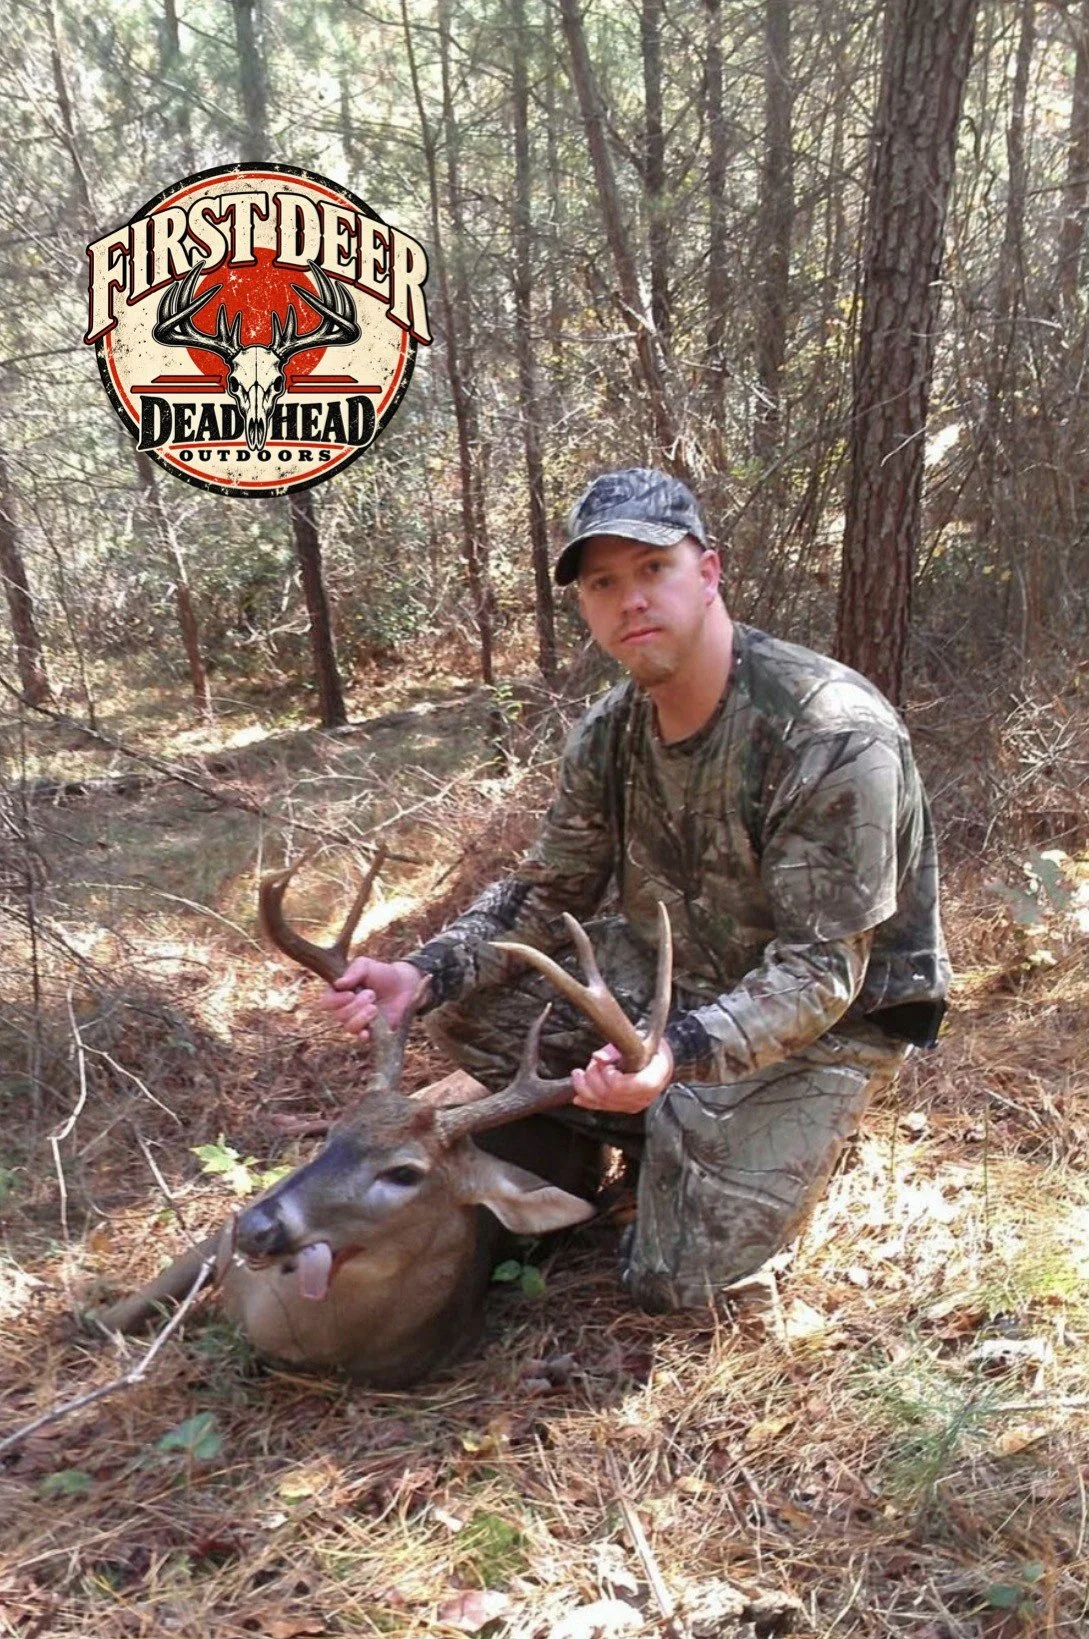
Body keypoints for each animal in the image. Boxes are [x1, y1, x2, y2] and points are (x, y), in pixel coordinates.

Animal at [91, 856, 673, 1387]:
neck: (304, 1336)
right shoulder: (226, 1235)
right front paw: (92, 1313)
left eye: (404, 1174)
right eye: (335, 1135)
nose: (258, 1228)